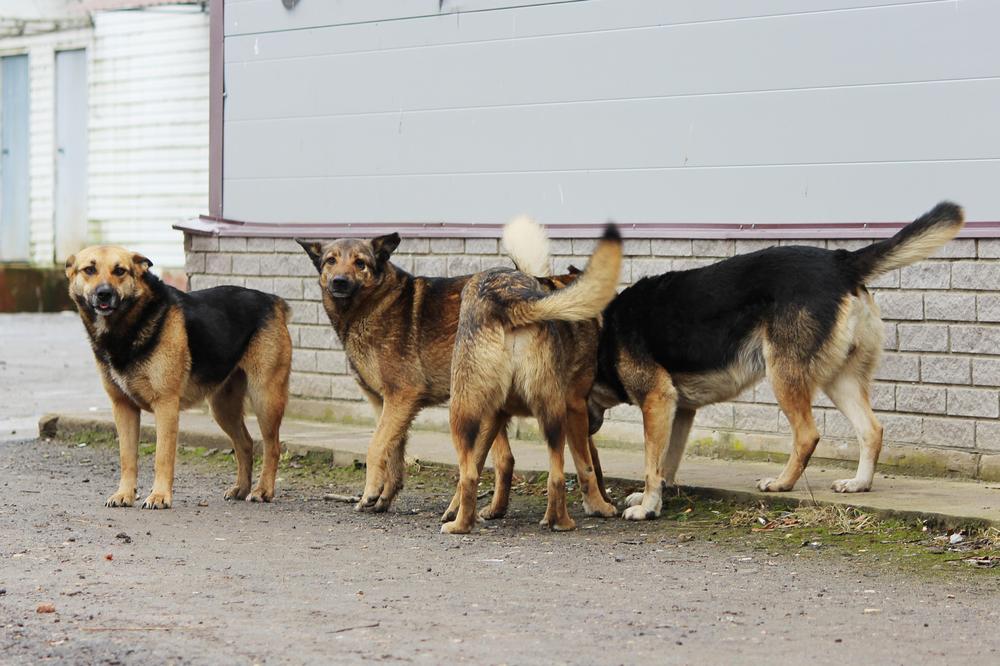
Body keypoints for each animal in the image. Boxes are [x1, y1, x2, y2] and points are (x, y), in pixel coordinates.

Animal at [65, 245, 292, 508]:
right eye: (89, 270)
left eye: (120, 271)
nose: (104, 294)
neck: (129, 325)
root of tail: (273, 300)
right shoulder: (123, 407)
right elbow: (127, 457)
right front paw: (125, 494)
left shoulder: (165, 406)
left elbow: (162, 456)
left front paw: (159, 496)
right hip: (222, 407)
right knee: (245, 443)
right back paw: (241, 488)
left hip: (264, 398)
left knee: (272, 446)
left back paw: (263, 490)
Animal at [442, 220, 620, 532]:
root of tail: (509, 301)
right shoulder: (575, 407)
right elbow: (587, 464)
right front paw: (599, 505)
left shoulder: (495, 416)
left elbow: (483, 466)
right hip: (545, 412)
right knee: (555, 473)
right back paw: (558, 521)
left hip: (475, 413)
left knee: (484, 474)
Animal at [588, 201, 964, 520]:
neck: (603, 338)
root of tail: (841, 262)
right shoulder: (679, 409)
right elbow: (667, 460)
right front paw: (654, 495)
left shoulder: (658, 401)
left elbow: (652, 461)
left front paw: (648, 506)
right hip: (840, 379)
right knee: (871, 429)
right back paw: (859, 483)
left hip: (783, 374)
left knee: (808, 434)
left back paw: (783, 482)